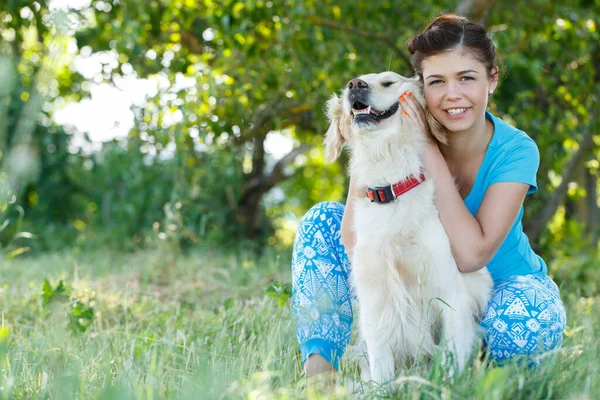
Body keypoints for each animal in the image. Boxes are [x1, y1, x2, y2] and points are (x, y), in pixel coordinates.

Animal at [326, 72, 490, 384]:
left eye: (389, 82)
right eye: (349, 86)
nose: (355, 85)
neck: (390, 187)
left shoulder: (449, 293)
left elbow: (450, 360)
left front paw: (446, 387)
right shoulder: (376, 297)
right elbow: (381, 365)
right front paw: (382, 389)